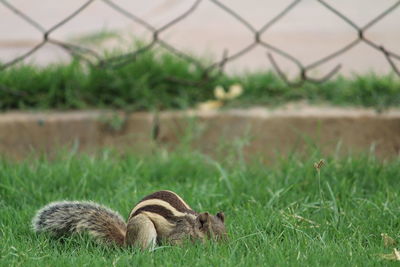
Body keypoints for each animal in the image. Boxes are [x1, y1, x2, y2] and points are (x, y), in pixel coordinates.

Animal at [32, 189, 225, 250]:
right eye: (211, 234)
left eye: (226, 233)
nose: (225, 246)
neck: (191, 224)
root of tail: (125, 241)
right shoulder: (178, 235)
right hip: (144, 227)